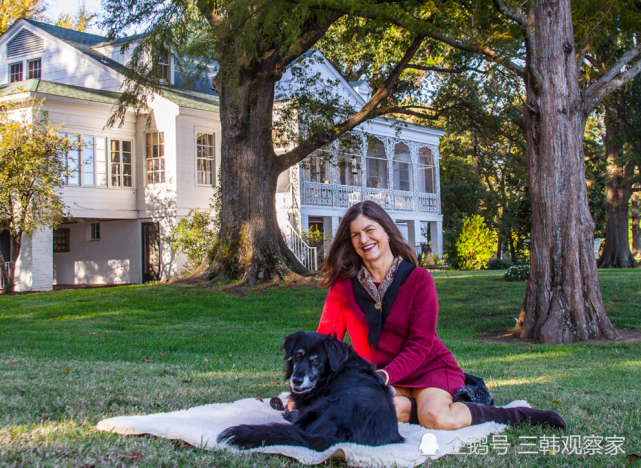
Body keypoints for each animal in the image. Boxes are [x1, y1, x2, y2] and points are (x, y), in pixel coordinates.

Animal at [218, 330, 402, 452]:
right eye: (298, 355)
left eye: (316, 360)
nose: (296, 380)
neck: (334, 371)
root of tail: (339, 432)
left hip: (321, 405)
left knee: (298, 423)